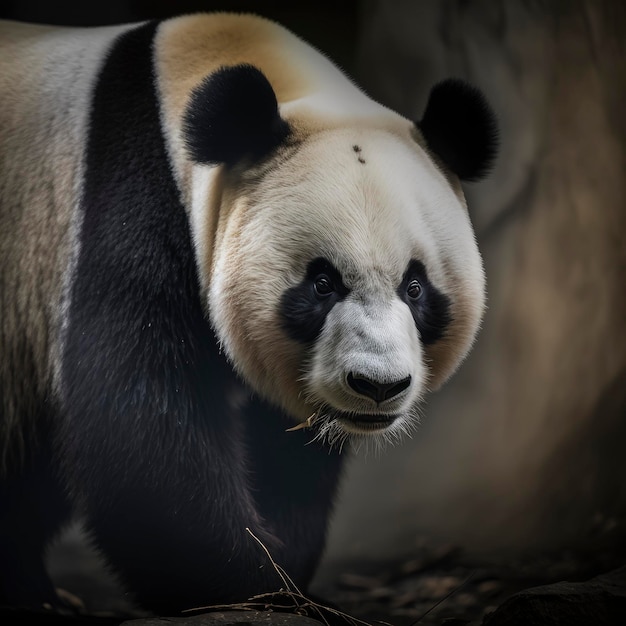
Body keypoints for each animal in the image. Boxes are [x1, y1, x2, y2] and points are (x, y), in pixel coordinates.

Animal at [0, 11, 498, 616]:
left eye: (416, 287)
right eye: (322, 283)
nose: (377, 386)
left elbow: (288, 448)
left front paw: (283, 562)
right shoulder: (127, 205)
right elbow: (136, 419)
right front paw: (248, 586)